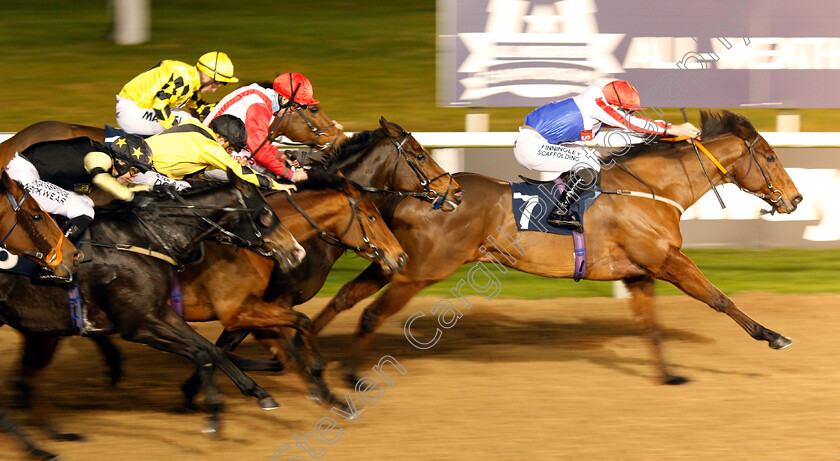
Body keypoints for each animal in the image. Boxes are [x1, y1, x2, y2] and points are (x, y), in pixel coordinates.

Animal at [0, 171, 292, 458]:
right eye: (265, 213)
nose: (293, 250)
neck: (142, 239)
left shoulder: (160, 311)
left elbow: (211, 350)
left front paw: (259, 393)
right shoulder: (138, 326)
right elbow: (200, 352)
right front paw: (213, 416)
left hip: (40, 332)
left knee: (24, 380)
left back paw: (55, 435)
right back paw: (37, 447)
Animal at [310, 109, 808, 382]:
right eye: (769, 157)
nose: (796, 198)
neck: (650, 190)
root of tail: (422, 191)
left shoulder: (639, 273)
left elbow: (651, 326)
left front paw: (668, 374)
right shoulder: (666, 259)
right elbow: (719, 299)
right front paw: (774, 336)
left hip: (392, 259)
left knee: (345, 297)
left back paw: (306, 346)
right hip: (420, 269)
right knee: (371, 313)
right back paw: (349, 373)